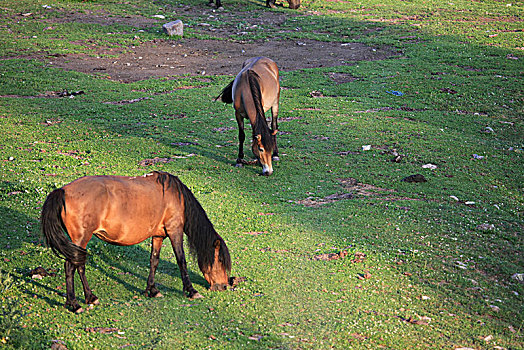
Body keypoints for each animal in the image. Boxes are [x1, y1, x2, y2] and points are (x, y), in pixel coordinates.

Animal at [41, 171, 229, 314]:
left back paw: (90, 297)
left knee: (79, 266)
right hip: (81, 238)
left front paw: (152, 290)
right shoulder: (174, 230)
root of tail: (63, 190)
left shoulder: (158, 236)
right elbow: (181, 260)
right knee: (70, 267)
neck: (175, 196)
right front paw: (191, 291)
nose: (224, 286)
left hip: (80, 242)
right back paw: (73, 304)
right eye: (220, 260)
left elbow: (154, 261)